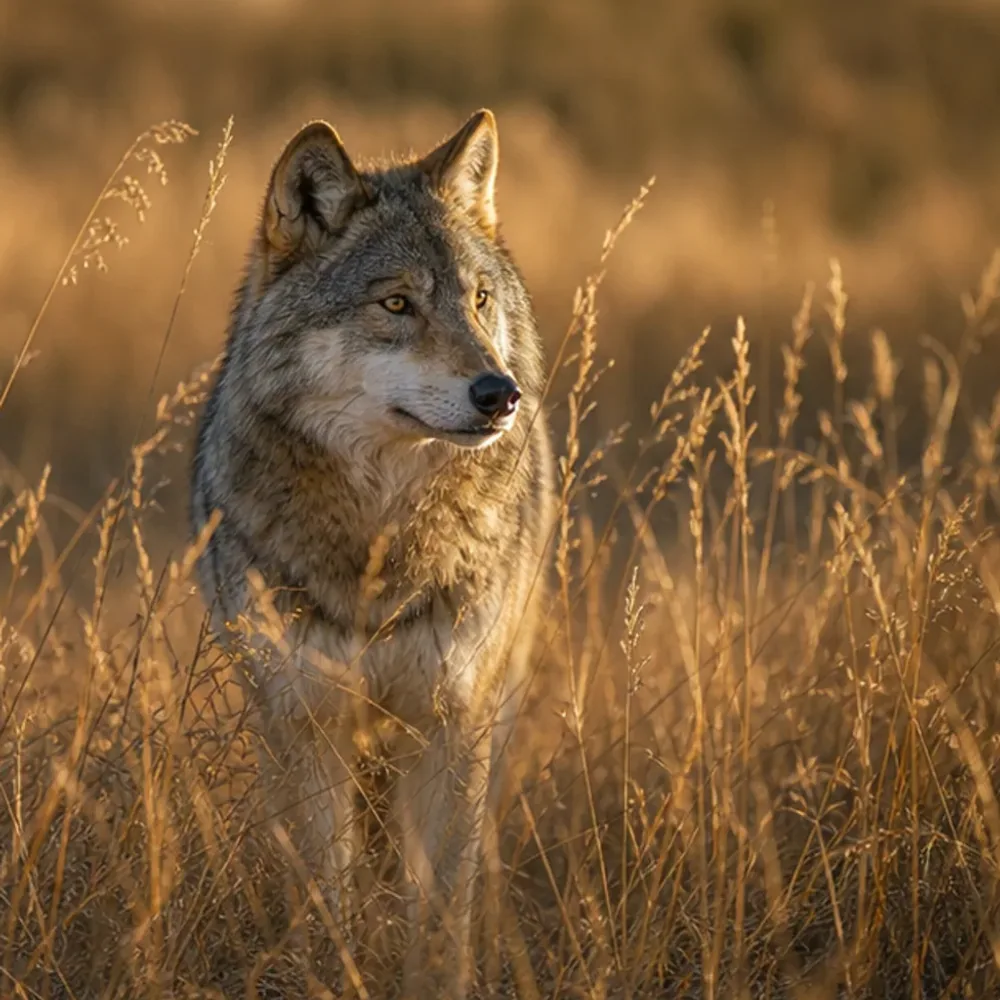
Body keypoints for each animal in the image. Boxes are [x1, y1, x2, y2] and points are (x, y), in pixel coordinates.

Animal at [190, 108, 554, 997]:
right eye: (397, 303)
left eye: (478, 300)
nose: (500, 394)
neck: (379, 538)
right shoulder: (305, 725)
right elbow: (328, 895)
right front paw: (334, 971)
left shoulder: (453, 722)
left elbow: (443, 911)